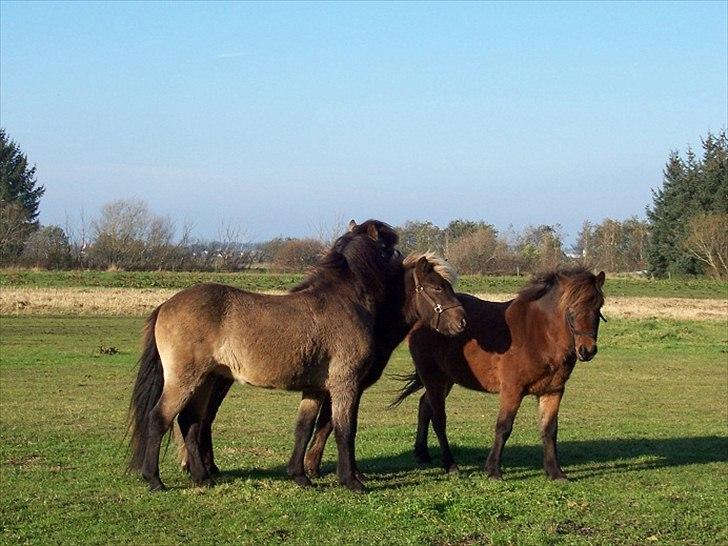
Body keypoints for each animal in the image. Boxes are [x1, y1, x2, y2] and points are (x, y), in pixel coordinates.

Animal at [129, 219, 400, 490]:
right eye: (389, 248)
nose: (401, 258)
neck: (342, 301)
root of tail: (165, 305)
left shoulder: (315, 388)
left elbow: (304, 428)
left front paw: (300, 476)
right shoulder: (346, 383)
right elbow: (345, 430)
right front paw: (351, 481)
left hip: (204, 381)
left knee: (190, 422)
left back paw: (202, 477)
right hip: (184, 380)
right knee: (159, 419)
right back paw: (154, 479)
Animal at [396, 266, 604, 476]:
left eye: (599, 306)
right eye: (570, 308)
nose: (587, 350)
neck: (539, 335)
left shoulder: (553, 391)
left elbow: (549, 430)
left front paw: (555, 472)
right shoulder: (512, 390)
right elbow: (504, 427)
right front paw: (493, 470)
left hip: (446, 379)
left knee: (424, 406)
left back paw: (422, 453)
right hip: (432, 376)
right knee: (438, 418)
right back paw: (450, 464)